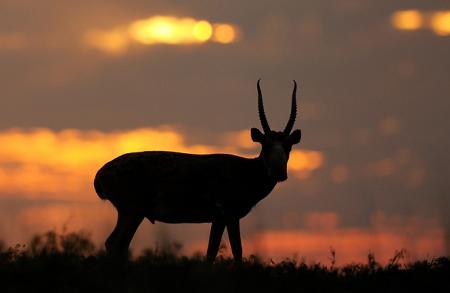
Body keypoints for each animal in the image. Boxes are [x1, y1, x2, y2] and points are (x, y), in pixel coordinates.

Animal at [92, 80, 300, 260]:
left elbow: (211, 252)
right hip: (132, 211)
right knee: (115, 243)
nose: (279, 172)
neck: (245, 170)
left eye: (288, 145)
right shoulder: (230, 213)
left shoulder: (218, 219)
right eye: (265, 144)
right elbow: (237, 250)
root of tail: (101, 174)